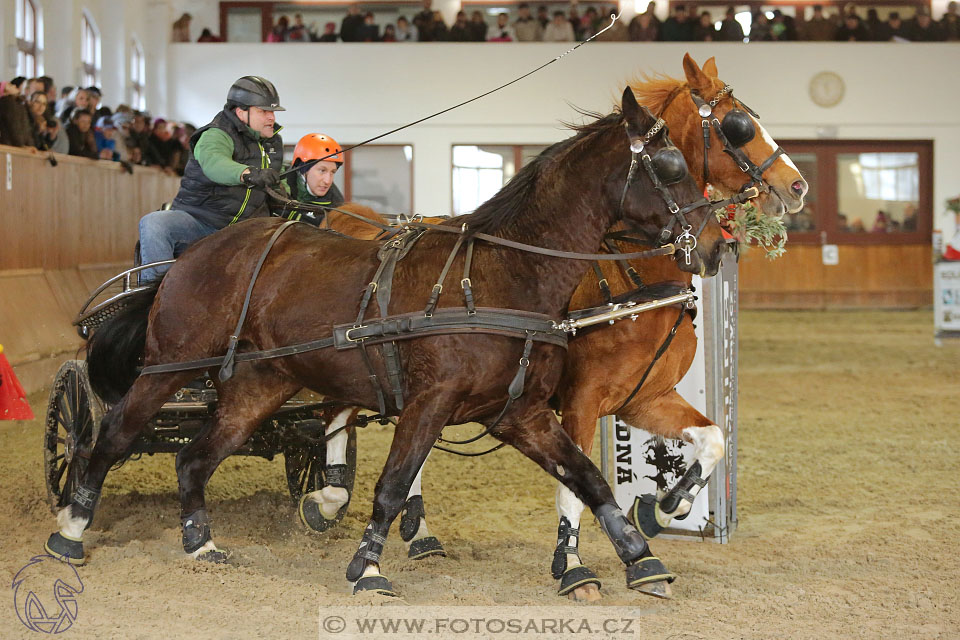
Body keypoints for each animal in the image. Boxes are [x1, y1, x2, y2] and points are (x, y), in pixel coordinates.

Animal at [43, 87, 720, 596]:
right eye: (670, 167)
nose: (716, 245)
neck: (499, 275)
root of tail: (190, 256)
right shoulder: (430, 402)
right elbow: (393, 486)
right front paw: (367, 567)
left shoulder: (520, 413)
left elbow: (589, 479)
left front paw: (641, 555)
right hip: (169, 368)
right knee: (111, 436)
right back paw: (70, 528)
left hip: (258, 387)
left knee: (194, 458)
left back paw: (200, 542)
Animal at [310, 53, 808, 600]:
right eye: (737, 124)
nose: (797, 185)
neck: (628, 279)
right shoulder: (580, 400)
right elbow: (575, 485)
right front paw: (573, 564)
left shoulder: (642, 398)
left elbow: (712, 438)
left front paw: (665, 506)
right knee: (339, 410)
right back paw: (330, 498)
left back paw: (415, 531)